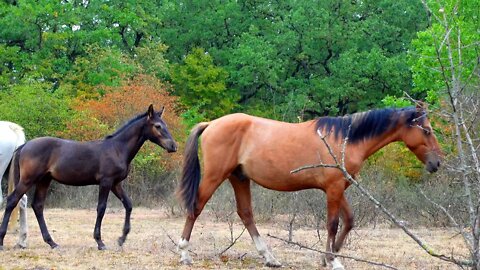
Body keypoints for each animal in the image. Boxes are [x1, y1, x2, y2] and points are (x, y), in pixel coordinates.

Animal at [0, 104, 176, 250]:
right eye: (158, 126)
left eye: (166, 125)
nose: (173, 146)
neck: (117, 148)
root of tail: (24, 146)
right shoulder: (106, 182)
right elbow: (101, 208)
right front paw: (100, 242)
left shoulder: (116, 184)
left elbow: (128, 204)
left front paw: (122, 238)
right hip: (28, 179)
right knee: (12, 200)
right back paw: (2, 241)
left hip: (44, 180)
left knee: (37, 206)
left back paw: (52, 242)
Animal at [177, 103, 442, 268]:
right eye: (427, 131)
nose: (437, 162)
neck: (345, 140)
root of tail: (211, 124)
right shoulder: (333, 189)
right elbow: (333, 224)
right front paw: (332, 260)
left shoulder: (339, 188)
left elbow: (349, 220)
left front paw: (328, 258)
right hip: (215, 176)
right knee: (195, 208)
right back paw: (184, 253)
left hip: (239, 178)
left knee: (246, 214)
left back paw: (270, 257)